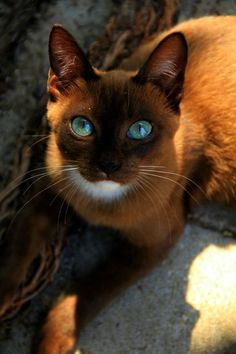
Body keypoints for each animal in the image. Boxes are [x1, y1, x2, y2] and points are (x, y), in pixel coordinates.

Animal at [0, 14, 236, 354]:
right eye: (82, 126)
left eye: (140, 130)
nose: (108, 165)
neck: (98, 204)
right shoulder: (44, 190)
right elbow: (14, 250)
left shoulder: (153, 243)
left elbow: (91, 290)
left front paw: (50, 341)